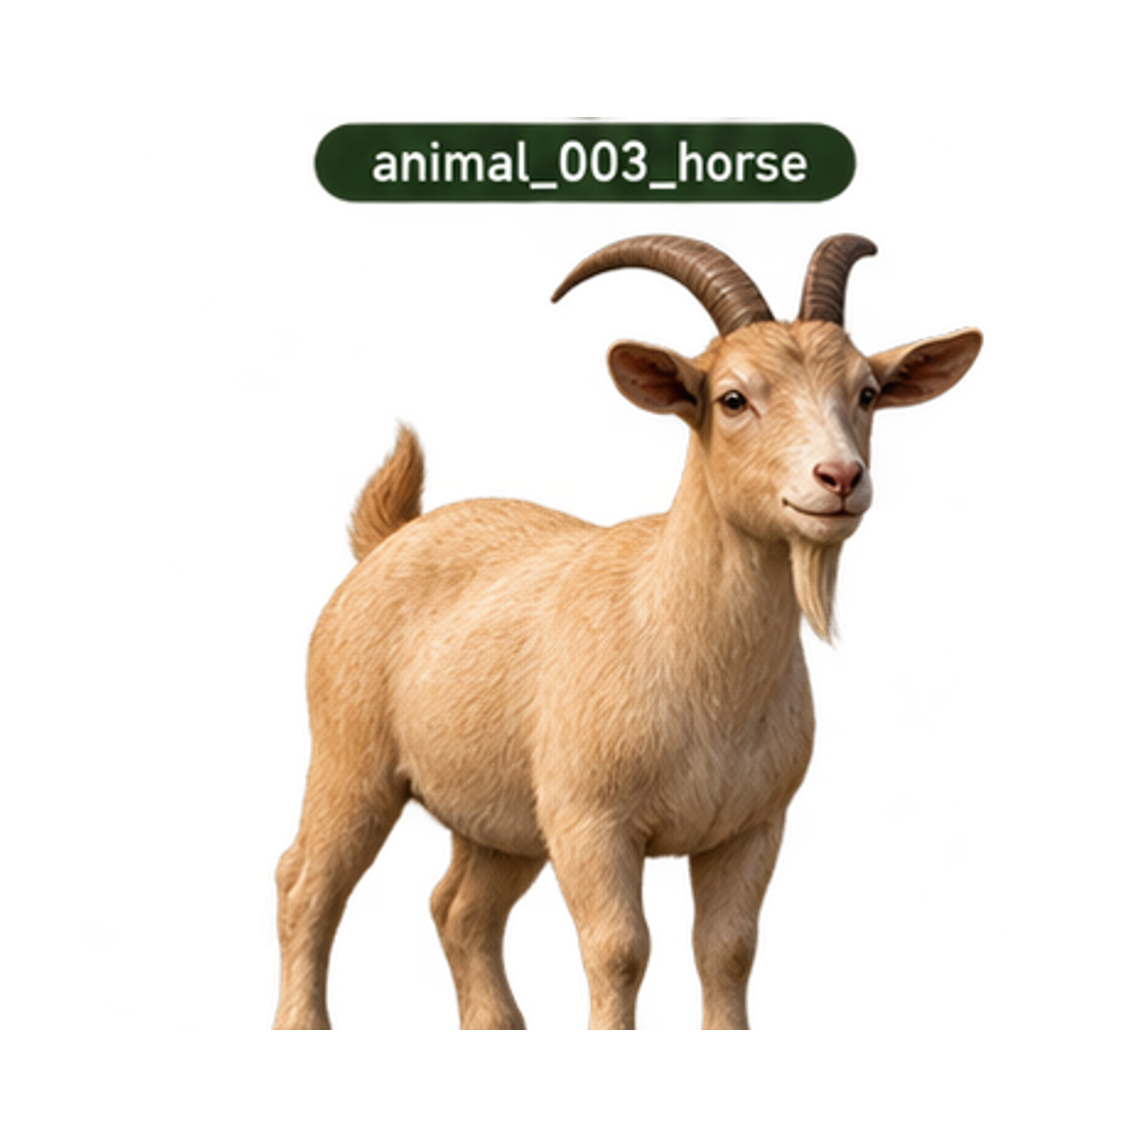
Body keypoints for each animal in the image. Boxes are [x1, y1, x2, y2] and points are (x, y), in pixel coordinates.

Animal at [269, 229, 986, 1030]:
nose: (840, 478)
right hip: (351, 759)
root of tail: (386, 540)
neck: (684, 649)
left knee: (459, 908)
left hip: (502, 814)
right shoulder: (592, 821)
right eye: (732, 398)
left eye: (865, 394)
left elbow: (729, 951)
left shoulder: (752, 827)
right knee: (304, 883)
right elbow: (619, 951)